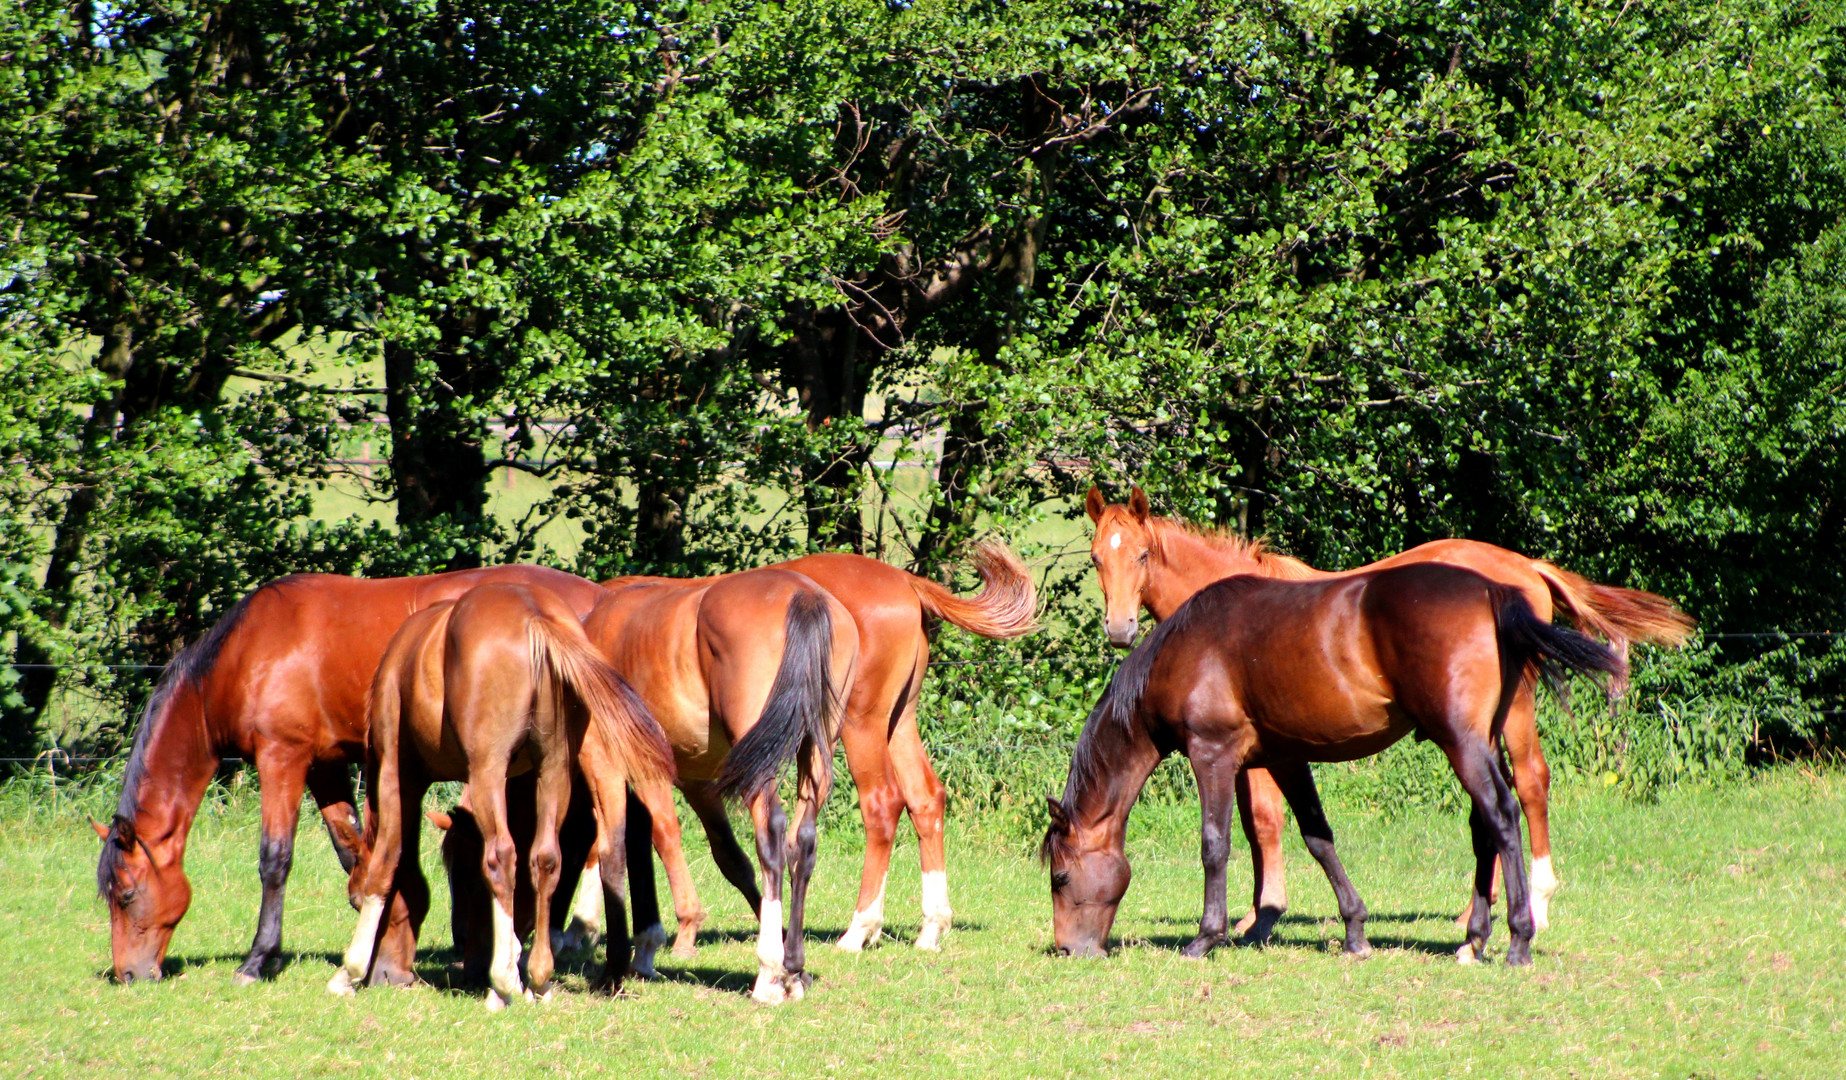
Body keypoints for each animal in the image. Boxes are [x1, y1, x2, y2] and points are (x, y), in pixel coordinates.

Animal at [95, 564, 605, 982]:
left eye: (126, 895)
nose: (129, 974)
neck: (246, 654)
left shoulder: (282, 758)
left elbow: (275, 859)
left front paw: (260, 959)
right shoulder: (326, 766)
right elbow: (353, 849)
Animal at [324, 576, 671, 1004]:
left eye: (354, 900)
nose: (387, 975)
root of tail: (536, 616)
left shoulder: (396, 773)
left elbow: (386, 863)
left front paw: (349, 970)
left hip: (488, 768)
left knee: (503, 856)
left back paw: (504, 982)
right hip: (554, 768)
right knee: (552, 857)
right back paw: (542, 976)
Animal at [579, 568, 860, 996]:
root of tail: (803, 594)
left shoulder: (614, 764)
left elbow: (617, 851)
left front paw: (616, 966)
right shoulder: (697, 780)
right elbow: (722, 857)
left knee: (772, 835)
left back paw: (768, 971)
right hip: (815, 750)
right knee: (802, 842)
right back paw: (793, 964)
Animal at [1048, 561, 1624, 967]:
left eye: (1059, 876)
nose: (1069, 949)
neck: (1186, 649)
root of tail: (1493, 592)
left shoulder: (1212, 754)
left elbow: (1215, 845)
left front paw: (1205, 938)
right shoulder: (1286, 757)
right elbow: (1318, 838)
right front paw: (1355, 931)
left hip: (1462, 742)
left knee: (1503, 816)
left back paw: (1518, 940)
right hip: (1478, 742)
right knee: (1484, 826)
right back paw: (1472, 941)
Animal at [1078, 483, 1698, 945]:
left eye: (1141, 555)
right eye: (1095, 559)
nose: (1119, 629)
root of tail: (1524, 567)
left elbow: (1262, 822)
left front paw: (1261, 916)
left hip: (1512, 712)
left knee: (1528, 784)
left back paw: (1533, 909)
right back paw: (1477, 914)